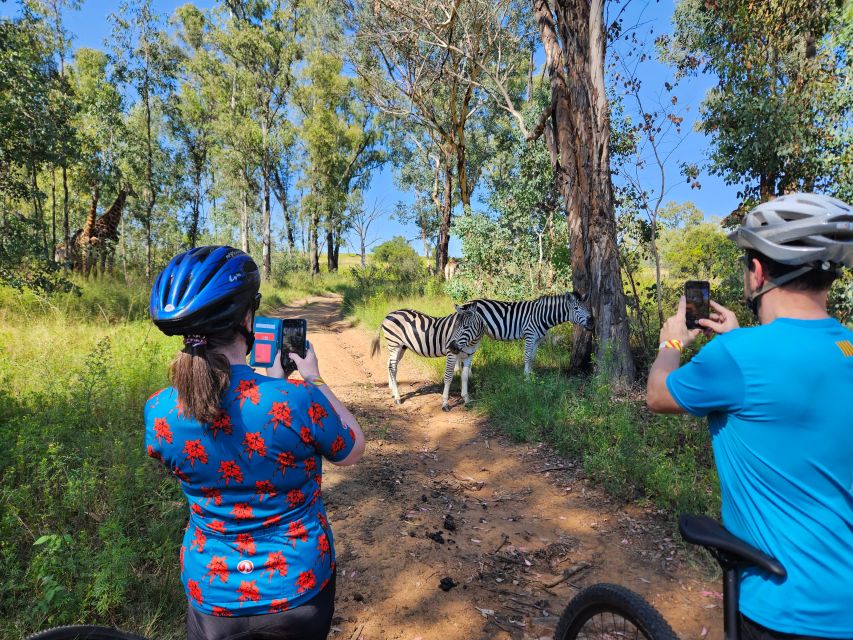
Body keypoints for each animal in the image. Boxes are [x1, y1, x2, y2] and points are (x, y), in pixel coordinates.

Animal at [460, 292, 592, 378]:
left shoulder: (537, 339)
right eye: (576, 308)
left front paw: (531, 374)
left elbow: (533, 357)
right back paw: (466, 374)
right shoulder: (530, 335)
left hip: (476, 334)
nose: (592, 320)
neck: (541, 315)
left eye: (586, 307)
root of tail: (467, 302)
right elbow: (527, 356)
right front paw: (526, 377)